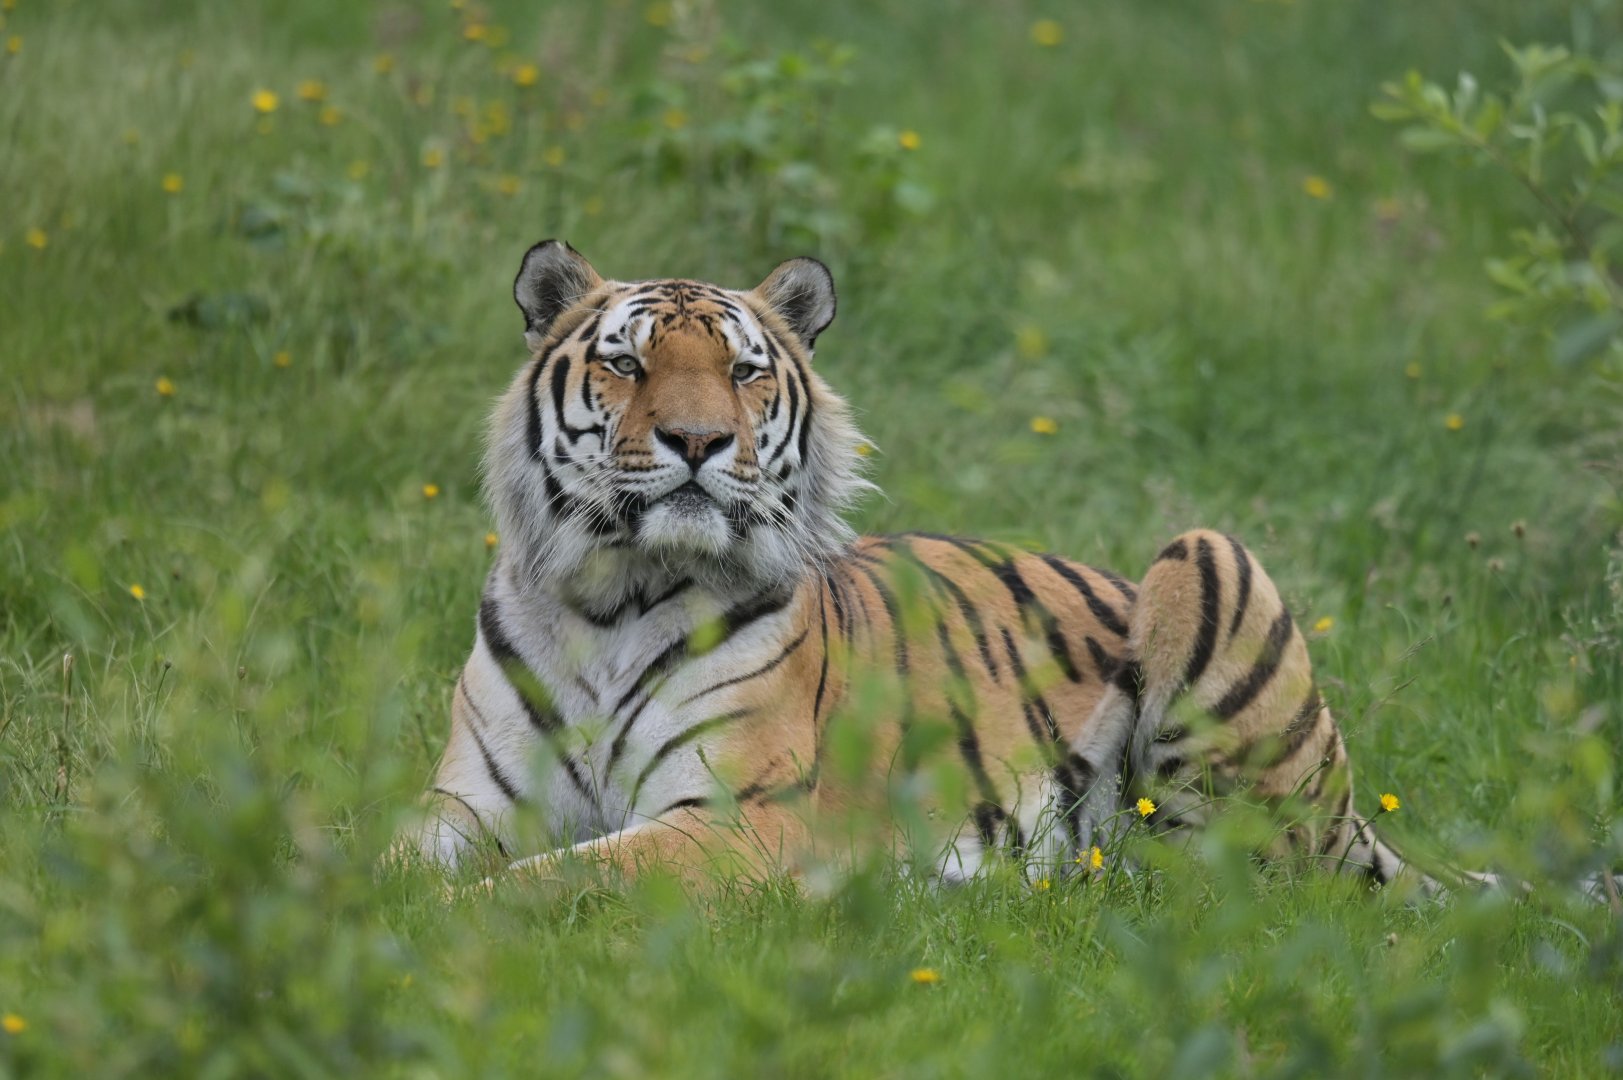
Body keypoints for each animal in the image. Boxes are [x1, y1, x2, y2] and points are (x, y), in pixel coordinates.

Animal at [401, 239, 1442, 893]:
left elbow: (552, 879)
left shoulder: (738, 814)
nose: (697, 441)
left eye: (743, 371)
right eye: (627, 363)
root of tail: (1353, 816)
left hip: (1205, 556)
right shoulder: (468, 805)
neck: (611, 598)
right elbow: (395, 860)